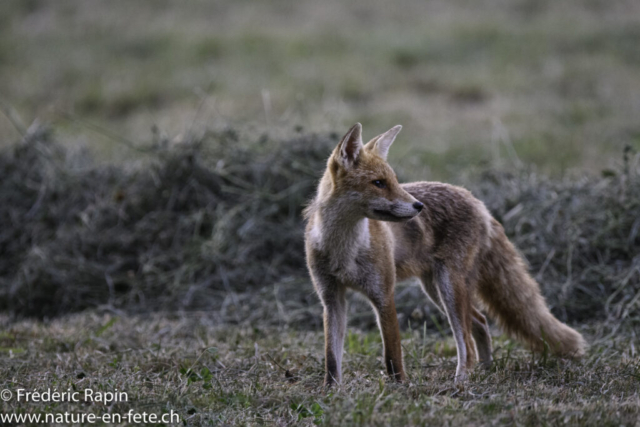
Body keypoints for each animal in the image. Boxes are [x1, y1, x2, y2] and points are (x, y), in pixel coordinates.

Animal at [304, 123, 586, 385]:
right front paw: (332, 391)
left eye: (394, 181)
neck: (344, 250)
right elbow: (331, 358)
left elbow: (392, 356)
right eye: (378, 183)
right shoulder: (331, 299)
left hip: (449, 286)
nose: (419, 206)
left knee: (467, 341)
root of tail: (478, 202)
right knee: (480, 321)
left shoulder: (383, 295)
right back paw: (484, 369)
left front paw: (401, 388)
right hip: (436, 289)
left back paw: (462, 379)